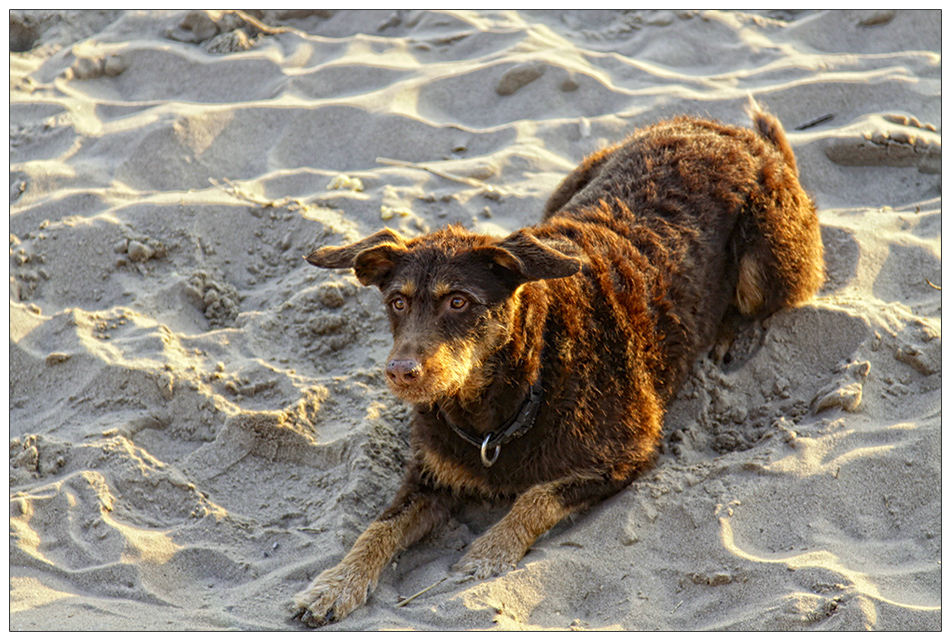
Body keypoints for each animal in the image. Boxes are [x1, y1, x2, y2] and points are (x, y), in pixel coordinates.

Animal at [290, 101, 824, 624]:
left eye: (459, 301)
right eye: (397, 302)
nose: (402, 372)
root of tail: (731, 132)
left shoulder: (625, 455)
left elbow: (537, 496)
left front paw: (489, 552)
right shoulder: (431, 474)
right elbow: (378, 528)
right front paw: (336, 584)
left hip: (769, 256)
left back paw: (727, 335)